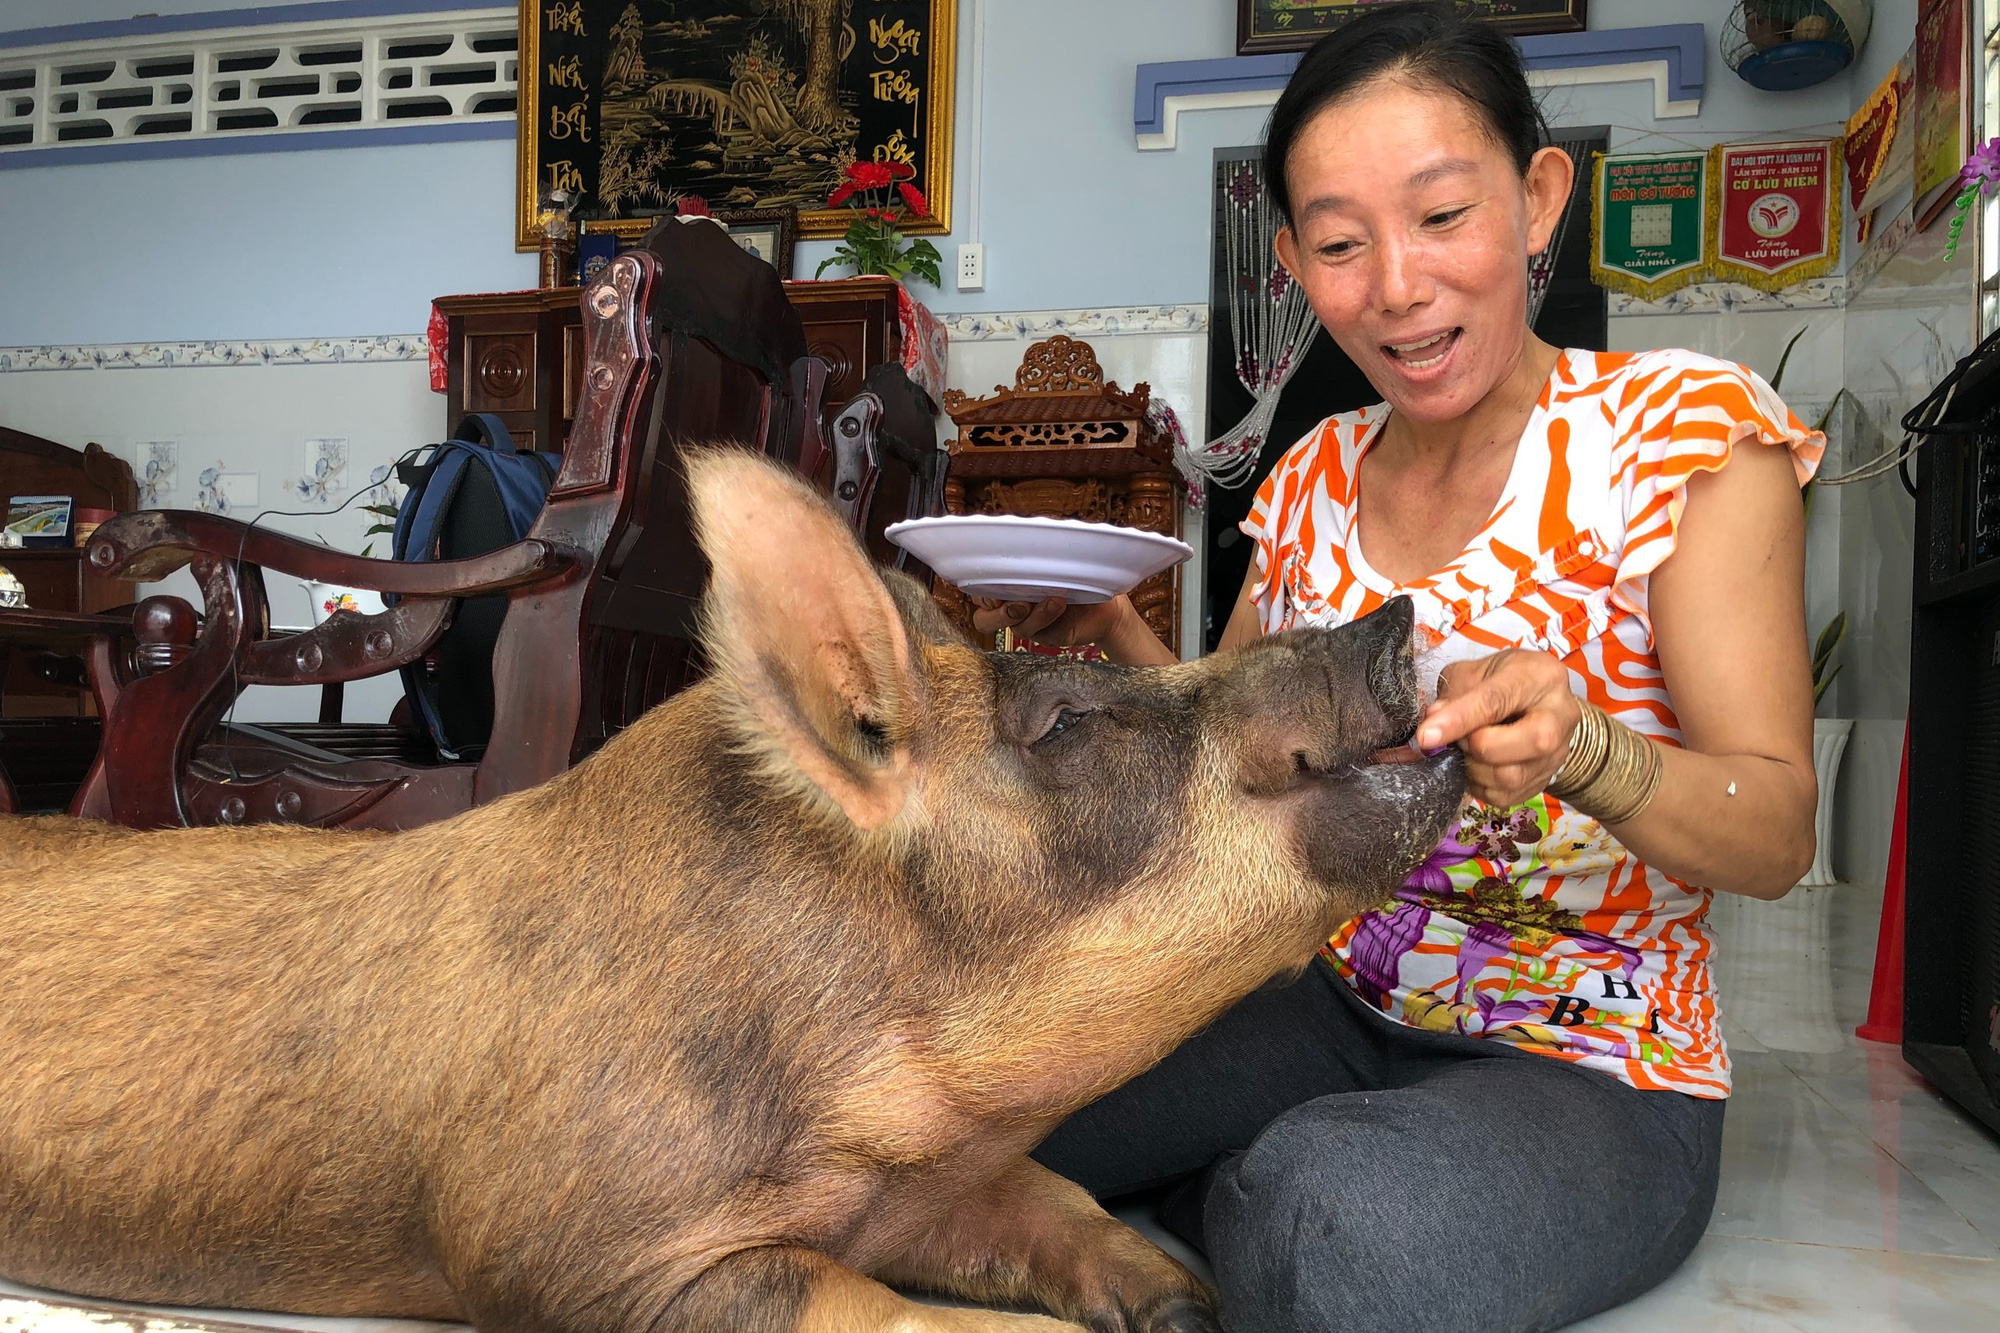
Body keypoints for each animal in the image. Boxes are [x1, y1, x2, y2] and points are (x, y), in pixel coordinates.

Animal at [3, 448, 1472, 1328]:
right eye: (1062, 719)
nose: (1392, 621)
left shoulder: (957, 1185)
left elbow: (1075, 1212)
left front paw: (1185, 1305)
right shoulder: (579, 1256)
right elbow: (898, 1317)